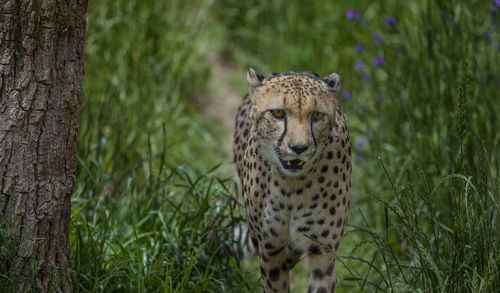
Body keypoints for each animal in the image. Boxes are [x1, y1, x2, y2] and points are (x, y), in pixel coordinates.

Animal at [233, 68, 352, 292]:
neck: (291, 187)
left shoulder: (323, 254)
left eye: (317, 115)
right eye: (278, 113)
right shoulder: (270, 248)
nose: (299, 148)